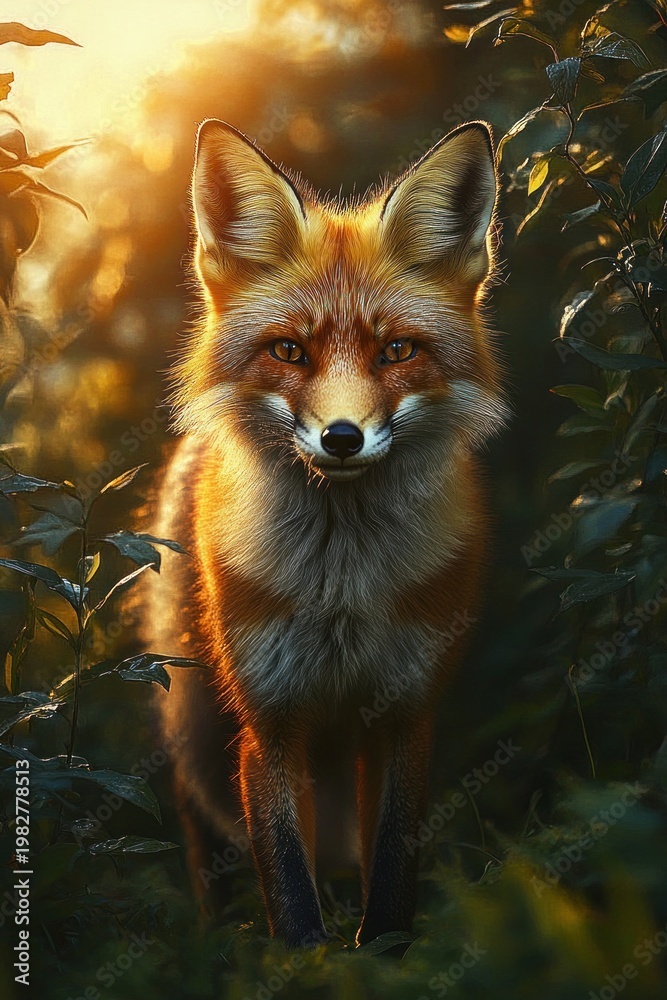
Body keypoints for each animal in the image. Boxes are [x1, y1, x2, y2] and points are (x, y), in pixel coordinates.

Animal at [147, 117, 508, 949]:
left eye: (395, 350)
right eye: (290, 351)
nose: (342, 438)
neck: (339, 586)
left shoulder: (405, 711)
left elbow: (392, 870)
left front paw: (383, 955)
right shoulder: (269, 720)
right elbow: (289, 887)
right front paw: (308, 963)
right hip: (196, 707)